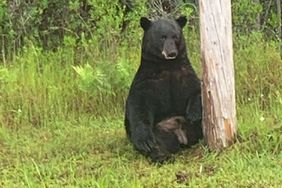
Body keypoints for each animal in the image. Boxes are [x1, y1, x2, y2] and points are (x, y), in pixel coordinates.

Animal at [124, 16, 202, 163]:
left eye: (175, 36)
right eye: (162, 37)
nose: (171, 53)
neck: (167, 65)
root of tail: (180, 135)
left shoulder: (185, 74)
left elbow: (197, 89)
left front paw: (194, 113)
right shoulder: (147, 81)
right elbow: (139, 106)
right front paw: (144, 141)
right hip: (159, 131)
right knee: (157, 143)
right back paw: (162, 156)